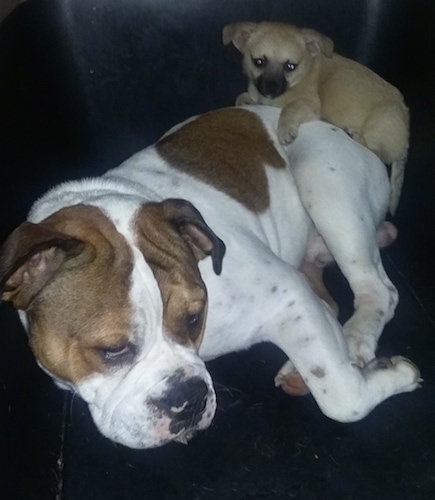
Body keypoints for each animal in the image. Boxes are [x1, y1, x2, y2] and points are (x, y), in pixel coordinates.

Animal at [223, 21, 410, 214]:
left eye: (290, 66)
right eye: (259, 62)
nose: (270, 89)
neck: (301, 75)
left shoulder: (308, 104)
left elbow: (289, 108)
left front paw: (285, 129)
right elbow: (242, 96)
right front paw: (247, 100)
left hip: (378, 122)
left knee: (383, 154)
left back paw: (357, 136)